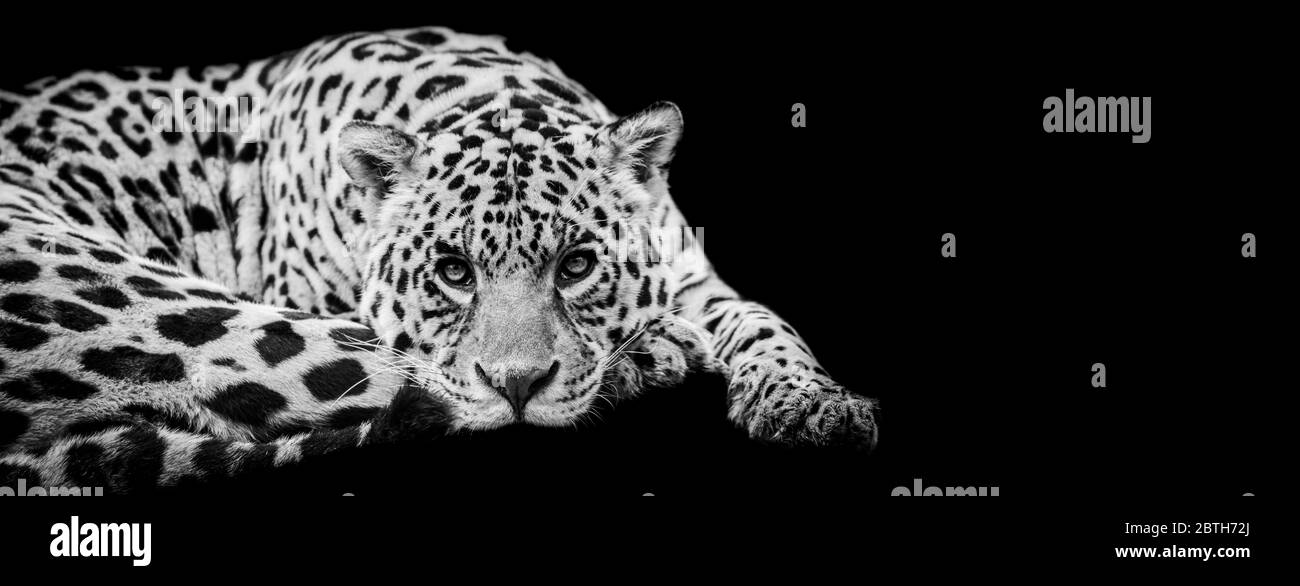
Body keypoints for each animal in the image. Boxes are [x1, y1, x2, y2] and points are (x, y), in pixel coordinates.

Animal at [0, 26, 878, 493]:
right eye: (453, 272)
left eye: (577, 266)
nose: (519, 384)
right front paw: (657, 352)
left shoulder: (691, 271)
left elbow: (765, 321)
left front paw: (813, 405)